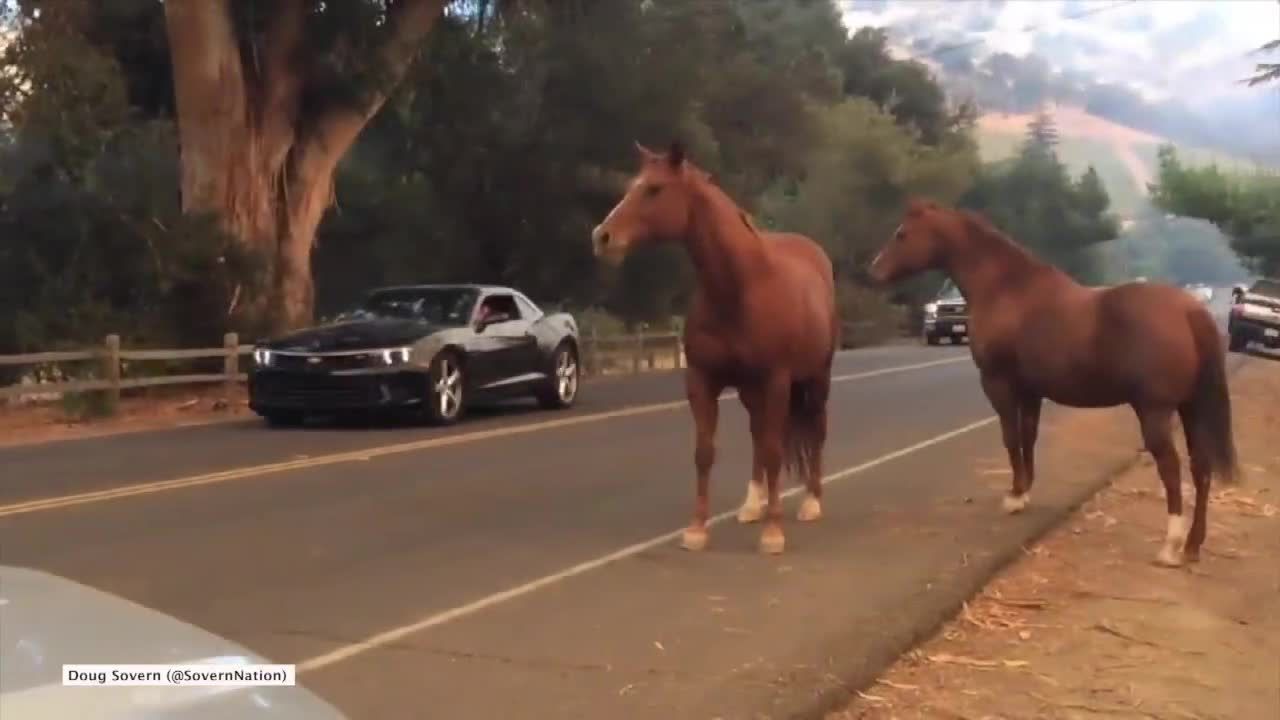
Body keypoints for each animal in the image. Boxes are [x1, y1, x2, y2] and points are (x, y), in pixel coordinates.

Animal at [588, 142, 839, 550]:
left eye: (654, 189)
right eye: (631, 186)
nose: (602, 237)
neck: (741, 287)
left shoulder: (776, 381)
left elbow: (774, 451)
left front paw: (773, 533)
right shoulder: (702, 380)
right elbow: (705, 453)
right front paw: (696, 530)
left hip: (816, 380)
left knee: (815, 429)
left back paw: (811, 502)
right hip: (752, 391)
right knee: (758, 436)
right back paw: (751, 506)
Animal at [870, 197, 1239, 566]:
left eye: (902, 234)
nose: (874, 271)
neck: (1007, 289)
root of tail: (1189, 311)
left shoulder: (998, 384)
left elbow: (1010, 437)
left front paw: (1013, 497)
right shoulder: (1031, 392)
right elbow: (1028, 437)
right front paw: (1025, 493)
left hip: (1155, 411)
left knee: (1171, 468)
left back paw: (1170, 546)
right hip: (1191, 408)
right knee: (1201, 468)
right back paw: (1192, 545)